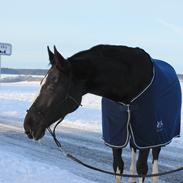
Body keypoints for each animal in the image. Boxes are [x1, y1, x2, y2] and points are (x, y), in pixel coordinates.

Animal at [24, 44, 182, 183]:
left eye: (52, 85)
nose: (28, 125)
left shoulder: (147, 139)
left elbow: (142, 169)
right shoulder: (117, 139)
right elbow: (119, 167)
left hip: (157, 137)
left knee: (154, 160)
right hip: (134, 136)